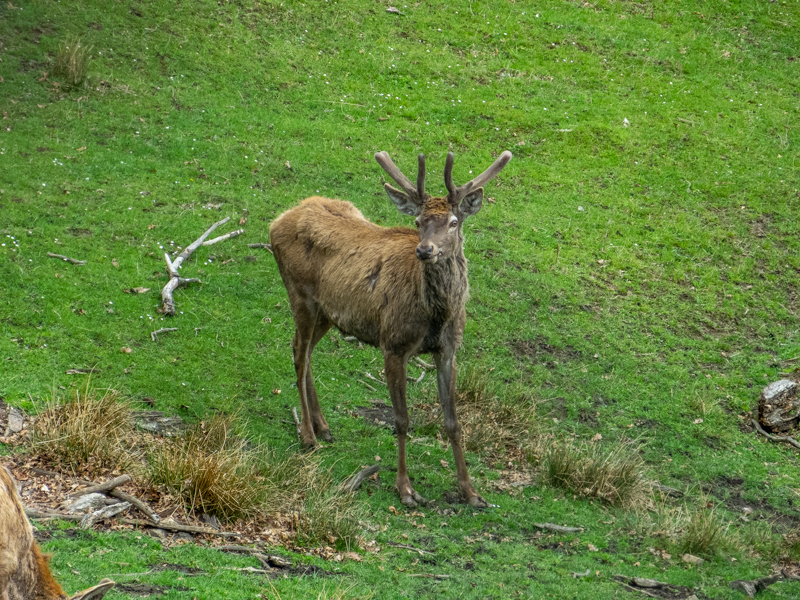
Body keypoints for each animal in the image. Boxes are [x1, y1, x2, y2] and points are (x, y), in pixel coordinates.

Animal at [269, 150, 512, 508]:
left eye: (454, 222)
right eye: (418, 222)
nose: (425, 250)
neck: (437, 316)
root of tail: (278, 219)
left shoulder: (448, 350)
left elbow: (453, 422)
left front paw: (471, 492)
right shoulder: (393, 344)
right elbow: (401, 420)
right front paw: (406, 489)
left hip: (328, 311)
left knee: (307, 351)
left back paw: (323, 426)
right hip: (299, 293)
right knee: (299, 352)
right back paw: (309, 436)